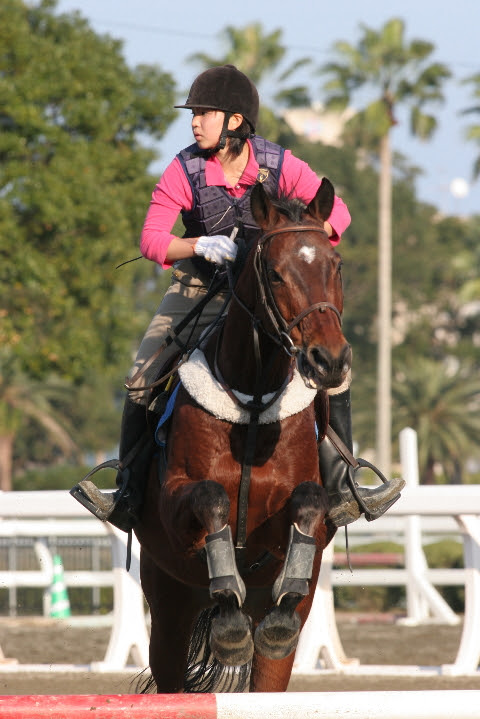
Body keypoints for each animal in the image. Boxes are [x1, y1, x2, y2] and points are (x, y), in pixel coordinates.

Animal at [134, 177, 352, 693]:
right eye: (274, 274)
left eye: (336, 266)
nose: (330, 361)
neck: (252, 403)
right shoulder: (175, 506)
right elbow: (211, 496)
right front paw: (230, 622)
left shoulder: (291, 516)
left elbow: (309, 503)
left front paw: (283, 601)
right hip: (168, 605)